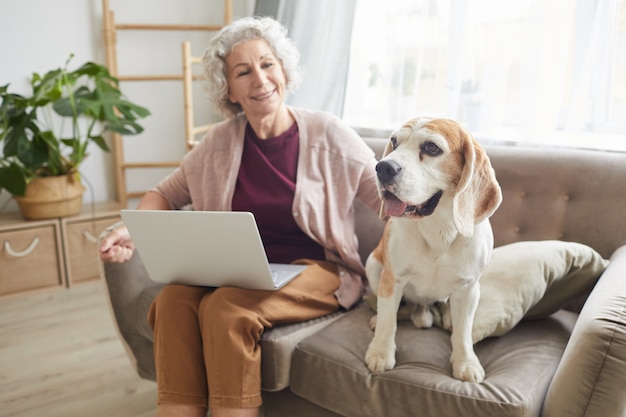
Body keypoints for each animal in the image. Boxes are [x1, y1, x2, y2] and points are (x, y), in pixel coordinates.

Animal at [364, 116, 500, 380]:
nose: (383, 168)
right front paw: (380, 353)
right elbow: (388, 321)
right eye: (394, 142)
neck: (438, 229)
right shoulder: (392, 279)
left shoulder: (469, 288)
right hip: (373, 265)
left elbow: (463, 333)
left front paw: (465, 363)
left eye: (431, 148)